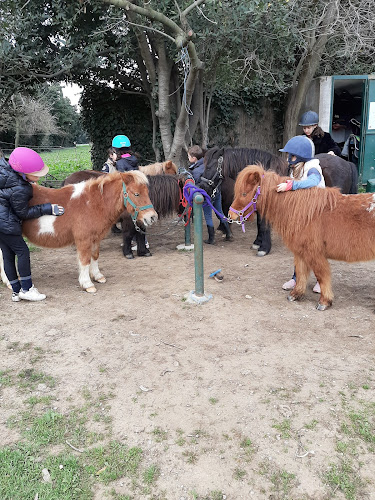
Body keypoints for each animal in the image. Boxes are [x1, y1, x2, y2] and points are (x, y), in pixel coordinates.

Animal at [22, 171, 157, 292]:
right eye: (136, 194)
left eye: (147, 192)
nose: (152, 217)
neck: (91, 204)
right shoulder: (84, 240)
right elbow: (85, 260)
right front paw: (87, 284)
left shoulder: (95, 239)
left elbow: (95, 256)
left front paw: (98, 276)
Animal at [229, 166, 375, 310]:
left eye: (244, 194)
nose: (230, 215)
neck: (304, 213)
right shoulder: (300, 252)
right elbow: (300, 273)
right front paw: (296, 294)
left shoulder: (314, 254)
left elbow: (322, 276)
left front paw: (324, 301)